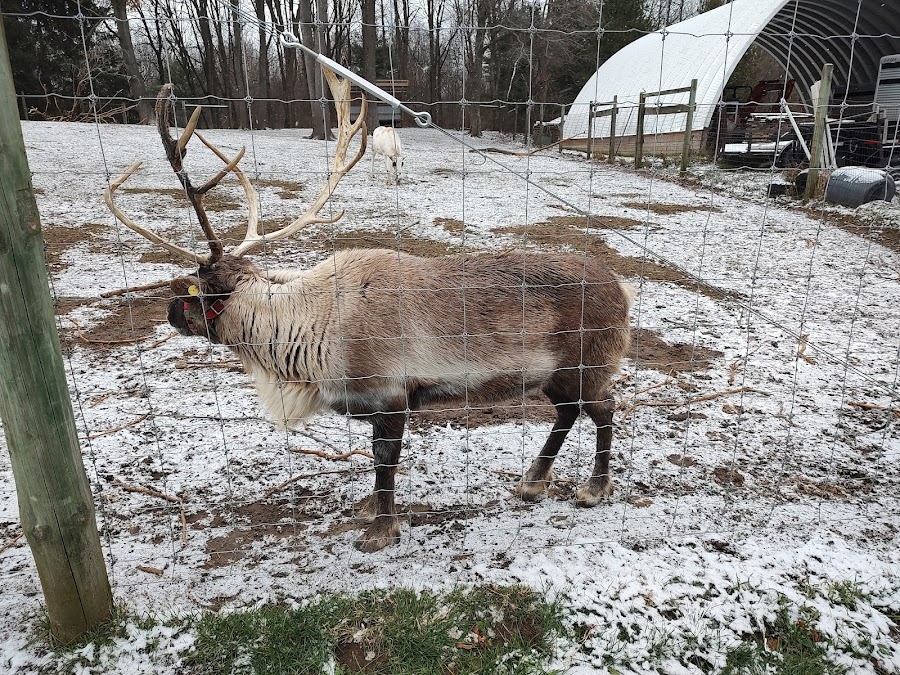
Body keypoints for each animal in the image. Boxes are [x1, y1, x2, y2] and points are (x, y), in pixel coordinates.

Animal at [104, 69, 634, 553]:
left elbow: (384, 463)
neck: (308, 332)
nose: (170, 310)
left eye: (205, 292)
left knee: (604, 408)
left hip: (587, 365)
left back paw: (592, 488)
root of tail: (623, 289)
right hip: (556, 375)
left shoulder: (390, 395)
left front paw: (380, 529)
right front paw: (371, 511)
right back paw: (532, 480)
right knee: (568, 412)